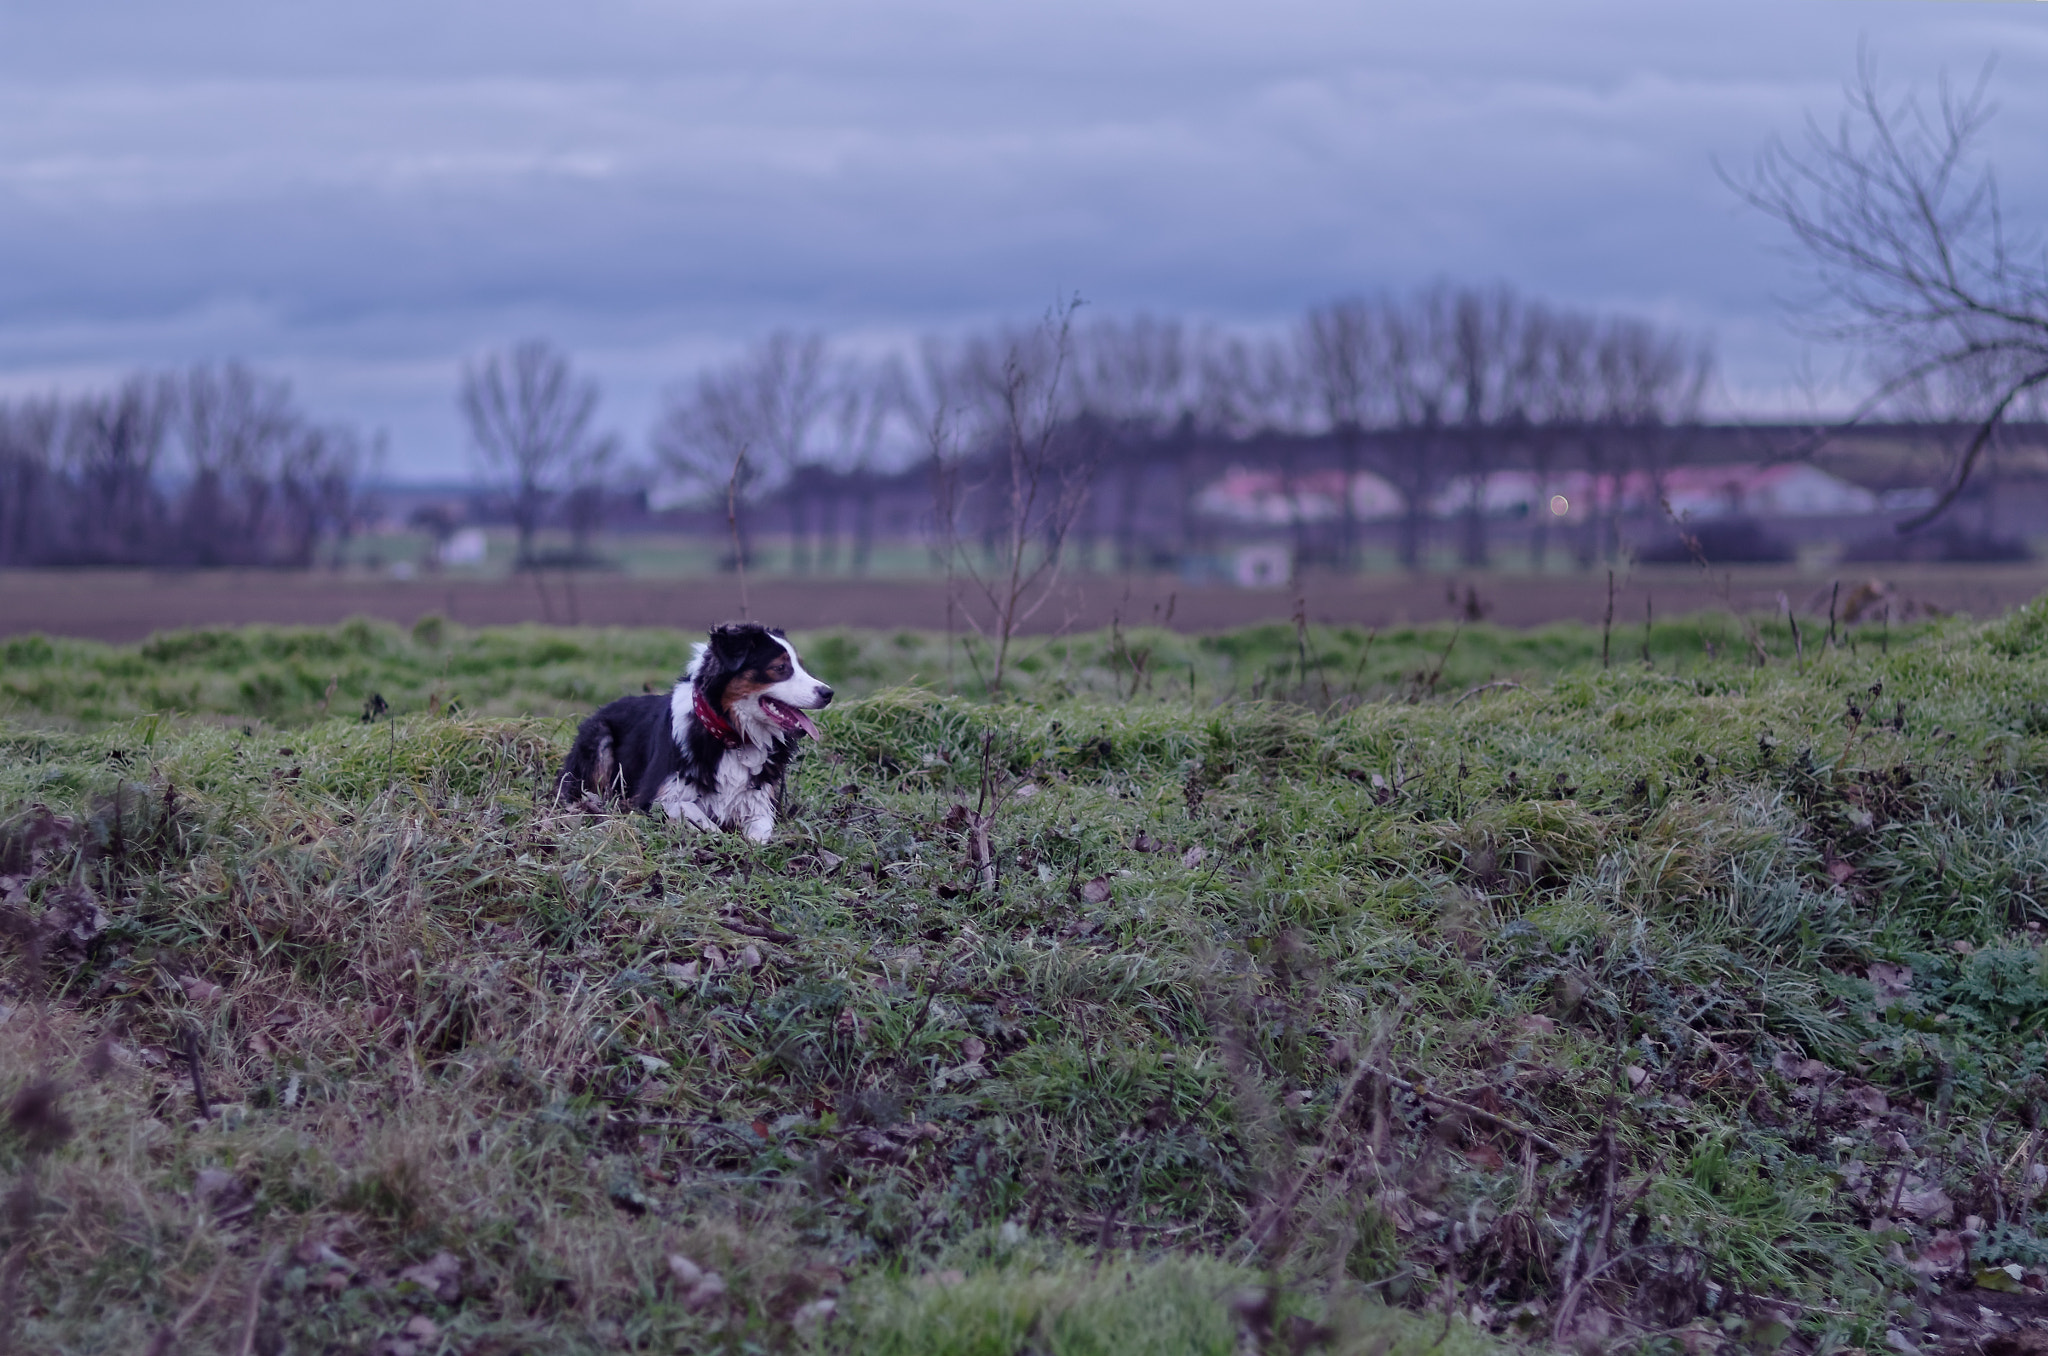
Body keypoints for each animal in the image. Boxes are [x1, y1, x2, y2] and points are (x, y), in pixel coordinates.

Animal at [552, 622, 831, 839]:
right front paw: (716, 833)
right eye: (781, 668)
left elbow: (761, 833)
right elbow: (691, 811)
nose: (828, 693)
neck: (731, 738)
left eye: (801, 666)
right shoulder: (654, 795)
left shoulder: (761, 801)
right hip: (600, 737)